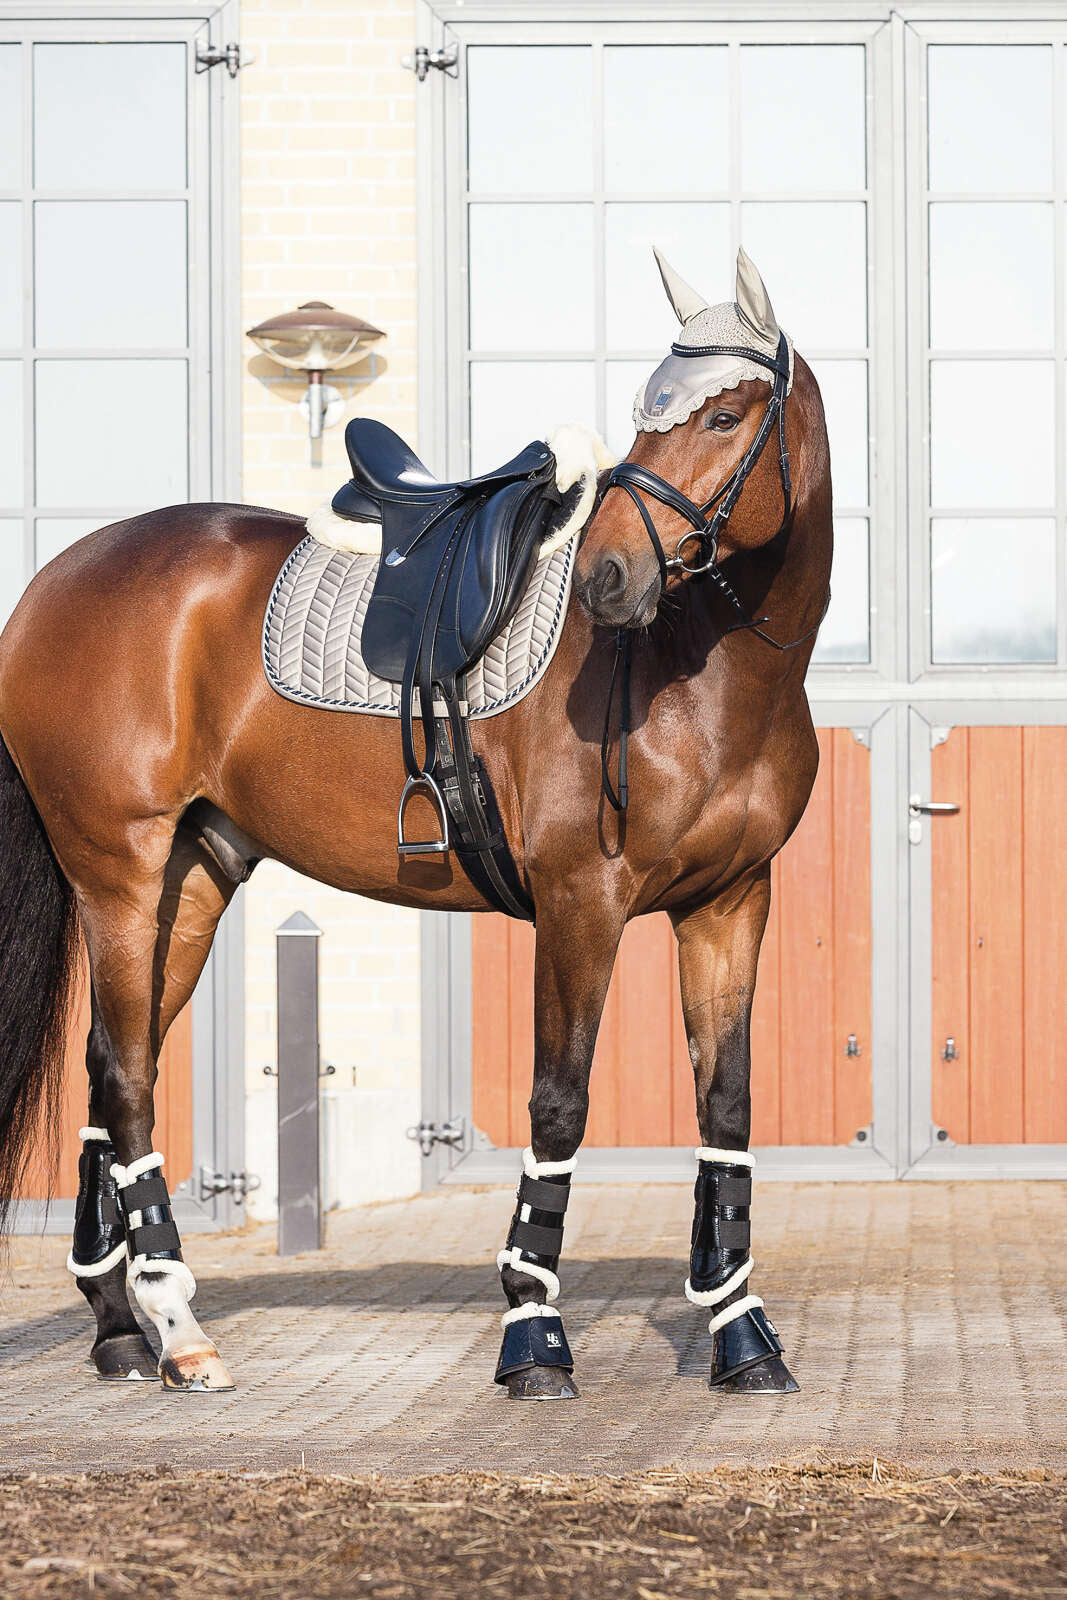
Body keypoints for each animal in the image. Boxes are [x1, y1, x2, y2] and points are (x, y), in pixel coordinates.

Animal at [0, 247, 831, 1399]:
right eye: (646, 413)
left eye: (719, 415)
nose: (609, 578)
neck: (697, 669)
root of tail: (50, 585)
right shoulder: (581, 904)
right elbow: (558, 1103)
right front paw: (533, 1333)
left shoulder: (728, 903)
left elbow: (727, 1110)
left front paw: (742, 1334)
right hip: (116, 873)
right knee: (125, 1077)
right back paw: (179, 1327)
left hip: (189, 881)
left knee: (108, 1065)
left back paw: (120, 1326)